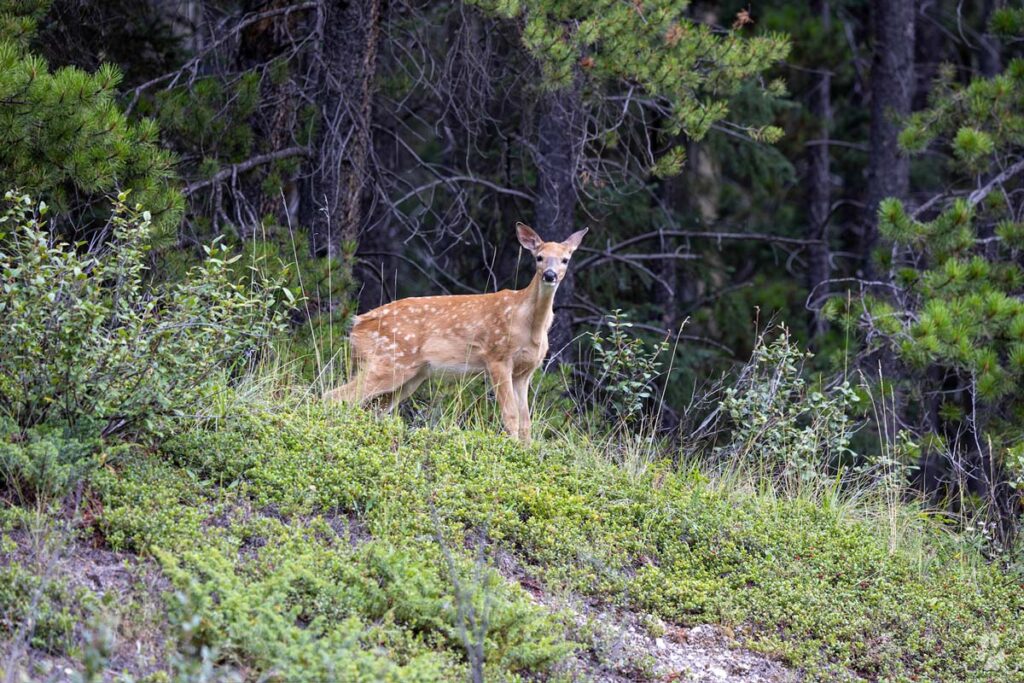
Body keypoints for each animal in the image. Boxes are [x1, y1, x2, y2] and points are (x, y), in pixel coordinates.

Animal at [323, 222, 588, 444]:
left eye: (565, 259)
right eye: (539, 257)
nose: (550, 275)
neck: (529, 324)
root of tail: (357, 324)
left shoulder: (525, 372)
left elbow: (526, 421)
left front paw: (526, 451)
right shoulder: (497, 358)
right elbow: (510, 415)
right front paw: (512, 451)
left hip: (409, 377)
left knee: (370, 408)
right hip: (388, 361)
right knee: (334, 396)